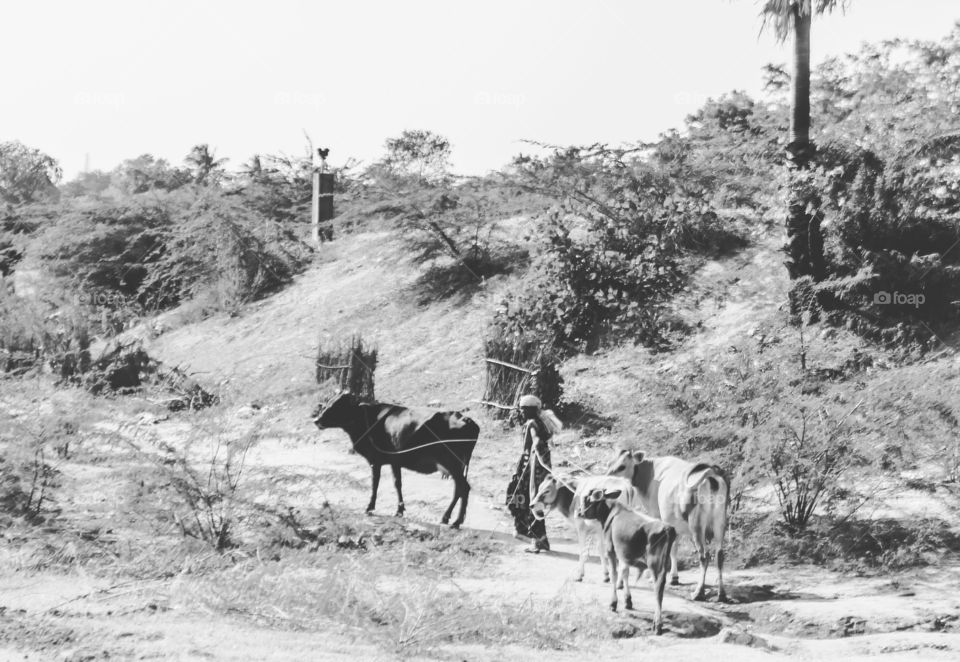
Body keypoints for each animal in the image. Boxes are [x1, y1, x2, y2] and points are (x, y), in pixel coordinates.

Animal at [314, 394, 480, 528]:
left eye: (337, 405)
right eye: (328, 403)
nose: (316, 420)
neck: (367, 420)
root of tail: (467, 420)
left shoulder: (375, 461)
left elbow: (375, 484)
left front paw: (369, 508)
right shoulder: (395, 461)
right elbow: (397, 483)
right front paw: (400, 510)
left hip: (452, 463)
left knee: (464, 488)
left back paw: (456, 522)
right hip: (456, 466)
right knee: (459, 490)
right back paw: (446, 518)